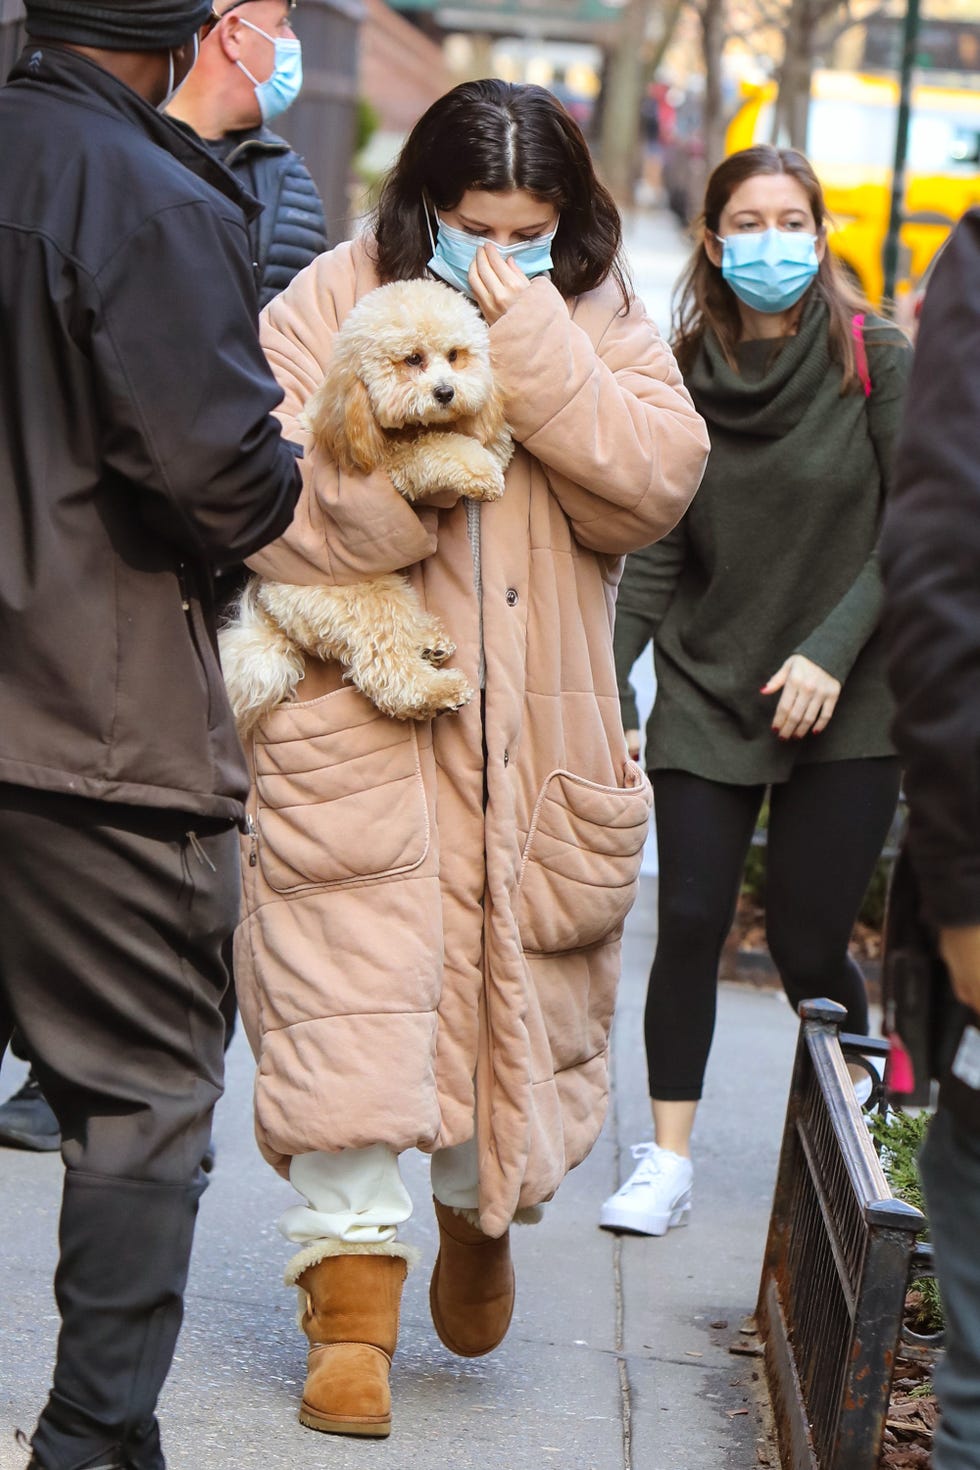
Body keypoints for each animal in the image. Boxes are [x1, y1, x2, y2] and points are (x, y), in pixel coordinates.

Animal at [221, 279, 514, 729]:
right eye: (413, 359)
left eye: (454, 355)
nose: (445, 392)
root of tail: (269, 607)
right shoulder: (392, 464)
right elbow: (439, 447)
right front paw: (480, 469)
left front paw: (494, 440)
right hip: (364, 597)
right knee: (387, 668)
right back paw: (438, 690)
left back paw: (428, 639)